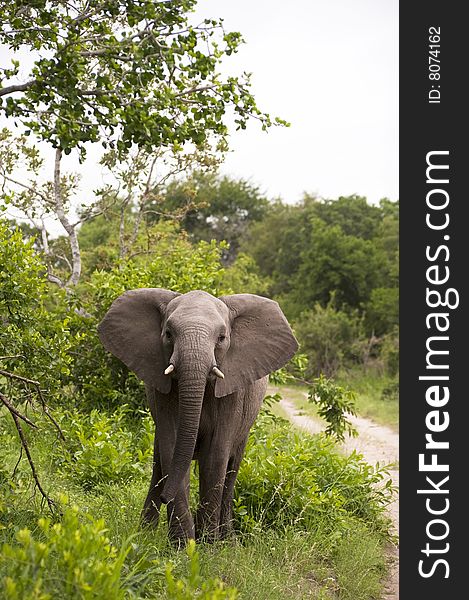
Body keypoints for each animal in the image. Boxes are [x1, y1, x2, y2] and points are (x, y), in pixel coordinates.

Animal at [97, 288, 298, 548]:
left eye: (221, 338)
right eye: (168, 334)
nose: (165, 497)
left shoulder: (233, 393)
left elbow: (215, 456)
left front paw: (208, 546)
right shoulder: (163, 393)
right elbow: (172, 449)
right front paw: (183, 546)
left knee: (231, 471)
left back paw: (228, 541)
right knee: (159, 464)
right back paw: (144, 534)